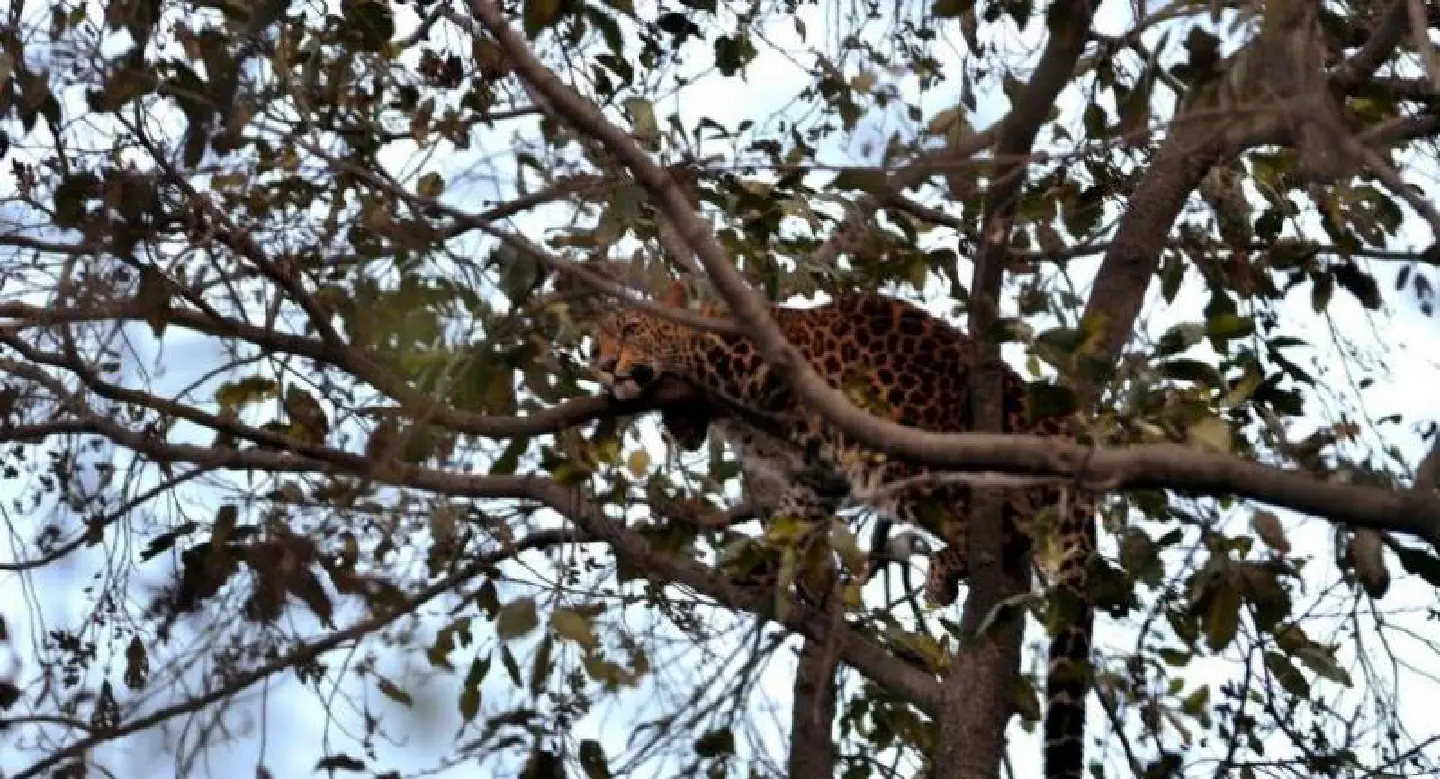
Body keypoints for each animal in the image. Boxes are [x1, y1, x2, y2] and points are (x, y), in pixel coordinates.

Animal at [590, 281, 1096, 779]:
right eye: (595, 347)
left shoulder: (759, 362)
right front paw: (758, 564)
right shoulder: (819, 473)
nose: (606, 367)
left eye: (631, 329)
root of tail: (1053, 421)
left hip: (905, 450)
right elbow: (793, 517)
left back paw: (944, 571)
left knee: (1006, 529)